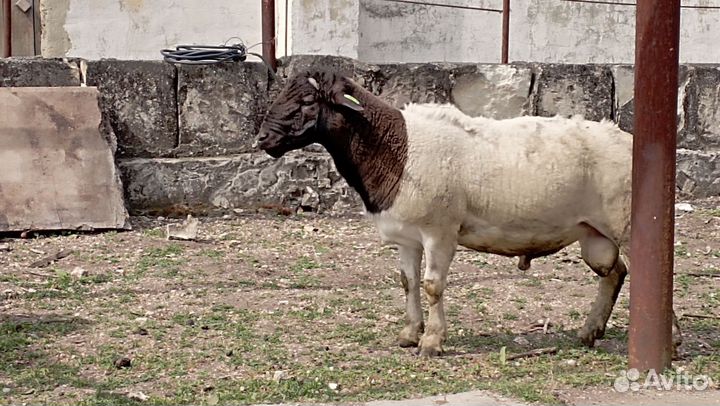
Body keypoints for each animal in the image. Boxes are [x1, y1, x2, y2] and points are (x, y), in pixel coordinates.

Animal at [257, 70, 682, 357]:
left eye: (307, 102)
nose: (262, 139)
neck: (397, 149)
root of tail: (628, 138)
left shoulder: (439, 231)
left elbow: (432, 286)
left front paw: (431, 342)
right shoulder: (407, 237)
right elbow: (408, 282)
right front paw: (409, 334)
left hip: (626, 221)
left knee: (645, 269)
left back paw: (672, 340)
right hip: (594, 233)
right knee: (614, 273)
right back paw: (590, 332)